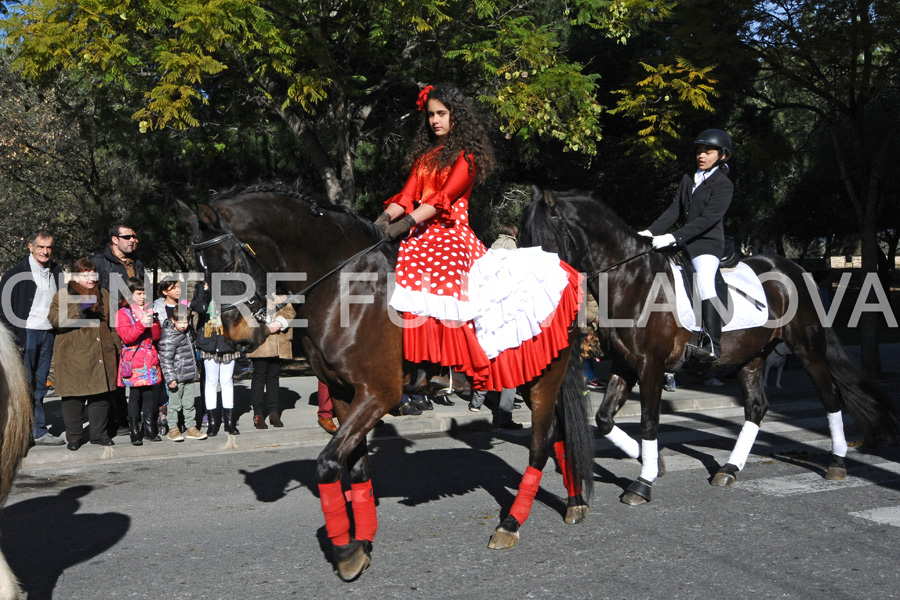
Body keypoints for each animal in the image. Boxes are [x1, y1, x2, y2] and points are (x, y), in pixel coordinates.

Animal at [177, 186, 596, 580]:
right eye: (201, 273)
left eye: (229, 262)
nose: (237, 338)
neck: (346, 287)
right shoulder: (345, 395)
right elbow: (357, 469)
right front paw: (361, 542)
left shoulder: (378, 393)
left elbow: (328, 463)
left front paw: (345, 551)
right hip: (532, 377)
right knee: (558, 433)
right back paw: (575, 501)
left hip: (544, 380)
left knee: (540, 446)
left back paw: (511, 523)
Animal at [520, 188, 900, 506]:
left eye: (543, 242)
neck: (632, 280)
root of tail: (792, 267)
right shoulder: (625, 365)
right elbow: (604, 419)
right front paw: (651, 461)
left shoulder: (651, 366)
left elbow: (649, 421)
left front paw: (643, 482)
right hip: (751, 357)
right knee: (757, 408)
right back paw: (729, 469)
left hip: (807, 349)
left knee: (830, 398)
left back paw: (837, 461)